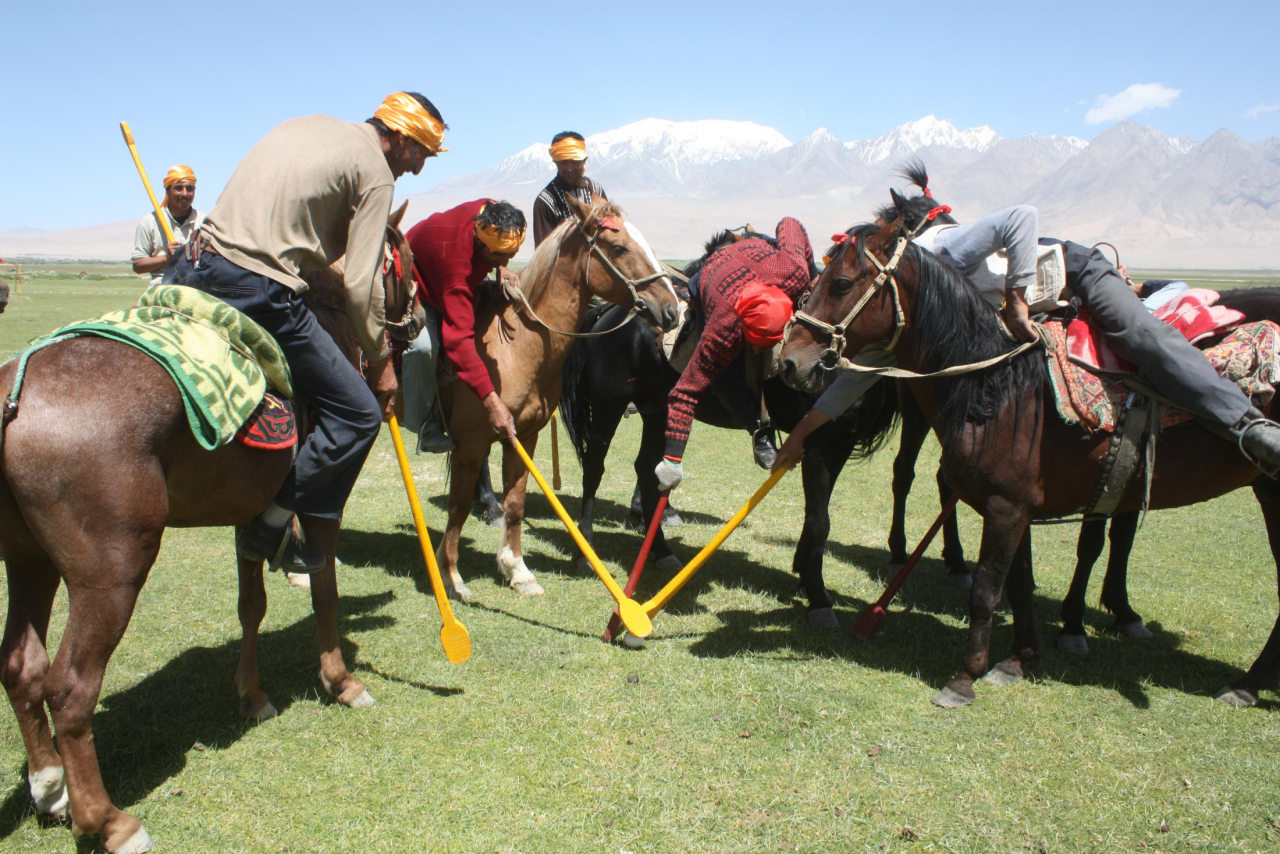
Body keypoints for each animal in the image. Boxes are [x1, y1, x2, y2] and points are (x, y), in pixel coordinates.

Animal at [0, 203, 417, 850]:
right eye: (406, 260)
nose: (417, 318)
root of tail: (14, 394)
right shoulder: (325, 497)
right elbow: (323, 590)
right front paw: (341, 681)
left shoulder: (251, 511)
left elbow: (251, 604)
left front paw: (252, 696)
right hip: (111, 573)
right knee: (68, 689)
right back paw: (111, 821)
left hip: (28, 560)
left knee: (22, 667)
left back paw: (50, 789)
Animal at [435, 198, 686, 604]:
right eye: (619, 247)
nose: (671, 310)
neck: (515, 347)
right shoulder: (471, 441)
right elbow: (457, 508)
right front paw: (452, 576)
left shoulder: (523, 435)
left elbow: (517, 503)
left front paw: (517, 570)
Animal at [560, 226, 901, 627]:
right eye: (842, 283)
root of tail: (607, 313)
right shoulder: (818, 441)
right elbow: (819, 521)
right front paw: (818, 598)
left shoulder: (840, 444)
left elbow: (816, 516)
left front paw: (805, 576)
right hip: (608, 406)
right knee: (594, 468)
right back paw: (584, 552)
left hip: (657, 409)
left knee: (646, 470)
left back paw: (661, 552)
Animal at [773, 190, 1280, 711]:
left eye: (842, 283)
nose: (789, 361)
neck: (1000, 387)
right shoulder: (1016, 507)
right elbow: (1016, 583)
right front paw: (1018, 659)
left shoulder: (1009, 508)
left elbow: (988, 590)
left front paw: (965, 678)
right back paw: (1245, 684)